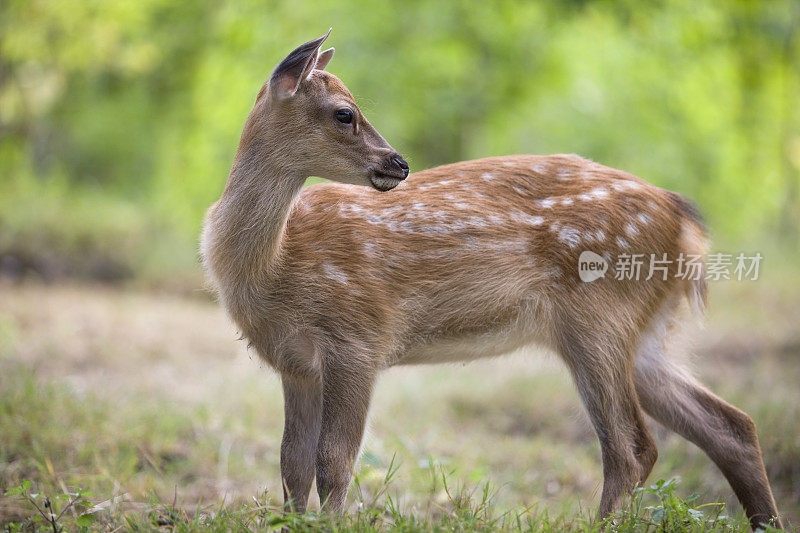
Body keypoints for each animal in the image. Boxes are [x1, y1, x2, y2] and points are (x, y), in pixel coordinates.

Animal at [200, 31, 780, 528]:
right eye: (344, 113)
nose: (399, 163)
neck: (276, 265)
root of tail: (684, 219)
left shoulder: (359, 336)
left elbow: (335, 460)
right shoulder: (295, 362)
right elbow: (292, 464)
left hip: (600, 314)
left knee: (632, 447)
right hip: (644, 332)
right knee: (730, 426)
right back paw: (765, 521)